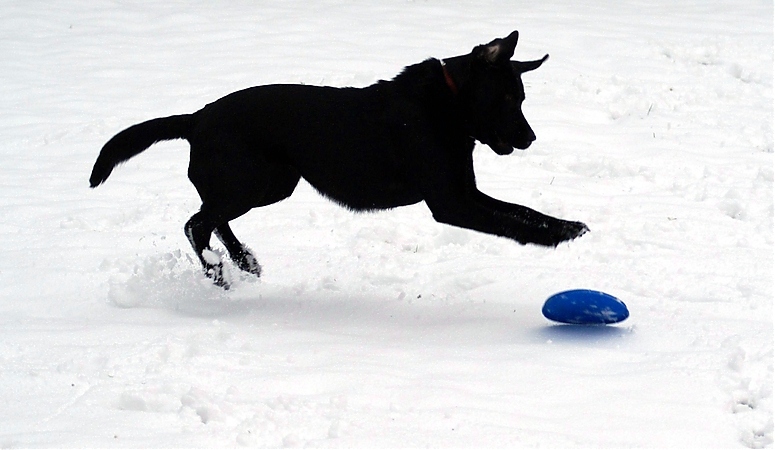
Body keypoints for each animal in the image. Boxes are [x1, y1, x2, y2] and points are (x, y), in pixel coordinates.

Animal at [91, 33, 588, 290]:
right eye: (507, 99)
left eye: (520, 98)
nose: (530, 138)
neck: (445, 103)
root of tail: (196, 118)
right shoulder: (452, 202)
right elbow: (513, 220)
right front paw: (557, 238)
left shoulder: (465, 192)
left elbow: (522, 210)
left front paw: (566, 226)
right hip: (250, 182)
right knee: (196, 223)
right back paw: (217, 271)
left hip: (274, 183)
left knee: (212, 218)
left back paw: (244, 261)